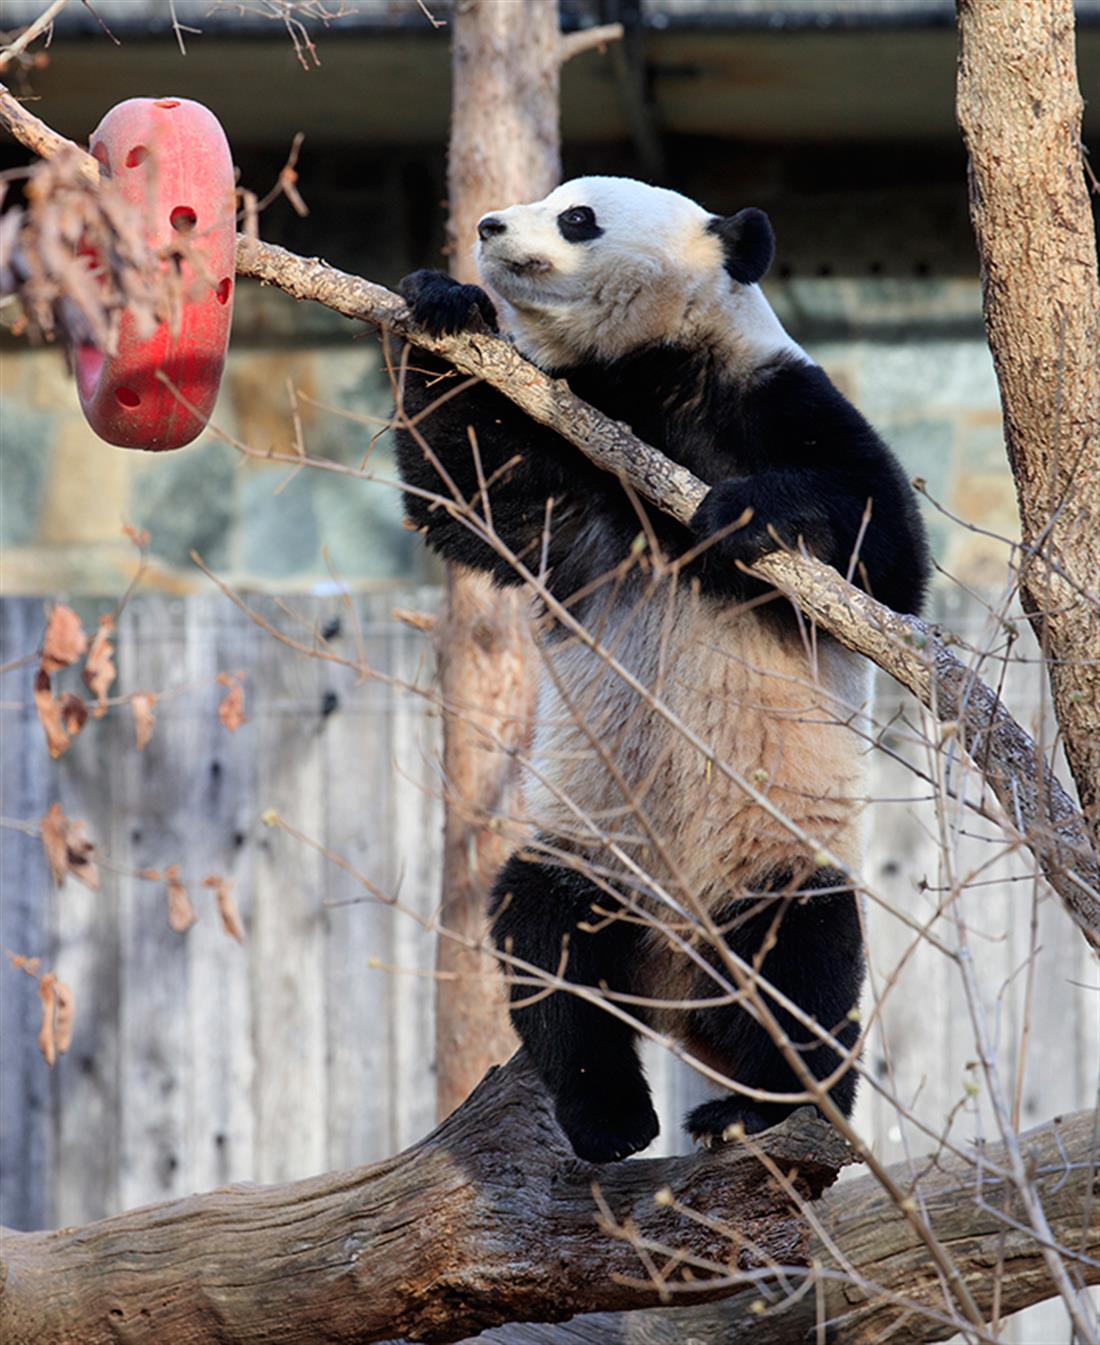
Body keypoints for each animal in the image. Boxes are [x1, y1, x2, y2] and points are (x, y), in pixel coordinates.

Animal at [395, 176, 925, 1167]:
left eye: (578, 217)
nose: (488, 225)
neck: (650, 378)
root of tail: (682, 996)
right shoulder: (578, 465)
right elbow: (469, 489)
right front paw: (443, 305)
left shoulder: (781, 396)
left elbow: (887, 551)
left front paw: (745, 513)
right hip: (596, 854)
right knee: (547, 938)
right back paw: (610, 1119)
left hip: (772, 855)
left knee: (803, 964)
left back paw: (769, 1110)